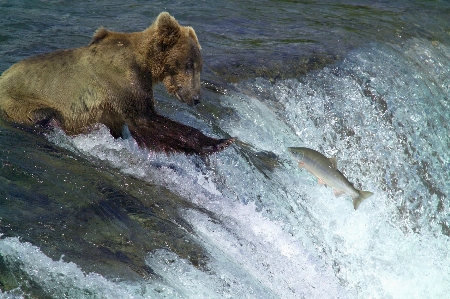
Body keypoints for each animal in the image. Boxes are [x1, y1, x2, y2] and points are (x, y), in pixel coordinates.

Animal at [0, 11, 232, 156]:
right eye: (189, 65)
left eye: (199, 66)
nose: (196, 98)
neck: (145, 64)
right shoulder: (122, 80)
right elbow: (146, 119)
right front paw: (218, 142)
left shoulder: (115, 105)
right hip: (20, 102)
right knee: (46, 115)